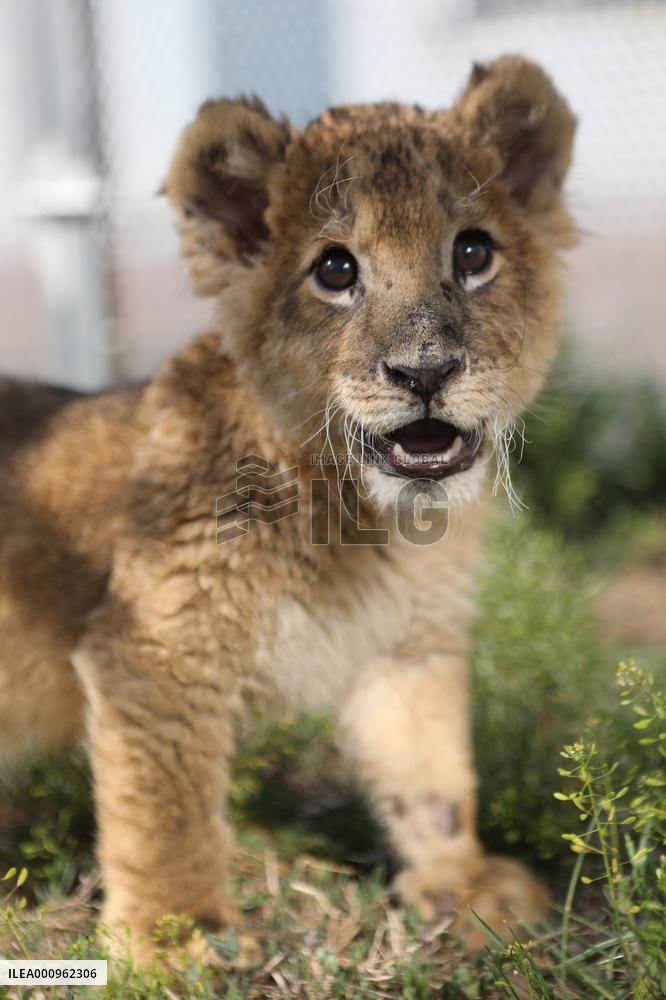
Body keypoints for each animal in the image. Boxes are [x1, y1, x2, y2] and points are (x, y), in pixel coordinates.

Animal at [0, 56, 576, 962]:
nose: (424, 371)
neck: (367, 522)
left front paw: (463, 887)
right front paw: (173, 938)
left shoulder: (408, 643)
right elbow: (165, 809)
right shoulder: (156, 645)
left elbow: (433, 771)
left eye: (473, 252)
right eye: (335, 271)